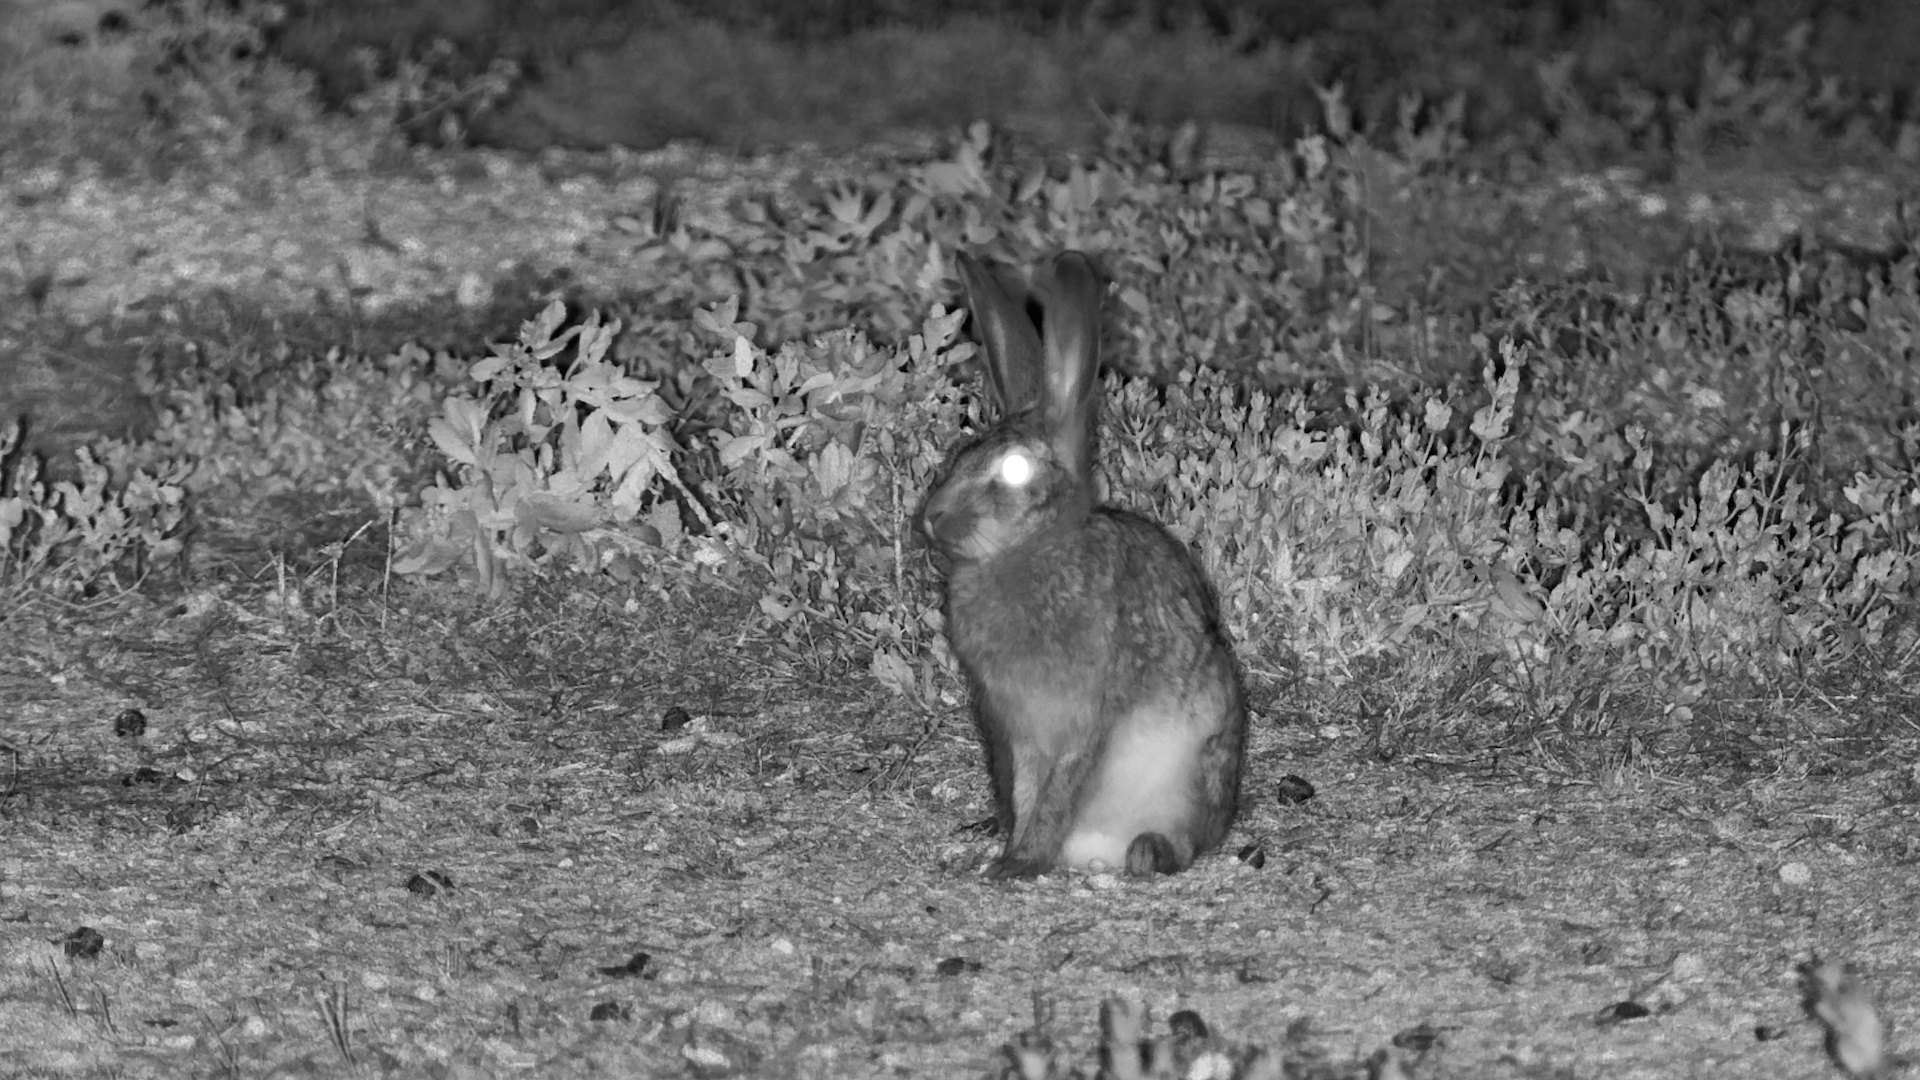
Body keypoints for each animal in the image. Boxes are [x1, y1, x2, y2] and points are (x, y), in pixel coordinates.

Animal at [919, 249, 1248, 878]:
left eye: (1015, 470)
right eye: (961, 453)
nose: (931, 518)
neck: (1031, 548)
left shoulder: (1084, 718)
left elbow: (1060, 789)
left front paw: (1021, 863)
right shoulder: (1016, 729)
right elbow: (1029, 790)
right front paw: (1012, 858)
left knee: (1188, 842)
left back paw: (1147, 852)